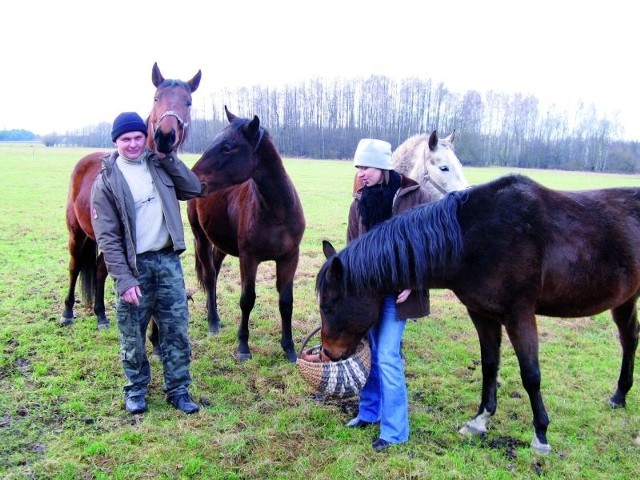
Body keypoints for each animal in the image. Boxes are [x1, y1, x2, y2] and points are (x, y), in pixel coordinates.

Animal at [60, 61, 201, 330]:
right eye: (156, 98)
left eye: (188, 102)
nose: (165, 136)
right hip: (77, 233)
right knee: (74, 267)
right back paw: (67, 312)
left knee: (100, 269)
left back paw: (101, 314)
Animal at [185, 107, 308, 362]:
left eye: (227, 147)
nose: (192, 178)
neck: (277, 211)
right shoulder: (249, 258)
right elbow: (247, 299)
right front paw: (243, 346)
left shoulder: (290, 258)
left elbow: (286, 302)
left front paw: (290, 349)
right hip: (201, 238)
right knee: (210, 275)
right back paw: (213, 321)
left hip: (221, 244)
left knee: (215, 271)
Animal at [316, 175, 640, 454]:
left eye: (329, 306)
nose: (328, 353)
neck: (475, 239)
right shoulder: (482, 314)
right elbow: (489, 366)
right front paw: (480, 420)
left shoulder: (520, 315)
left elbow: (531, 375)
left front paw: (541, 434)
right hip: (625, 299)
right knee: (629, 340)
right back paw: (619, 396)